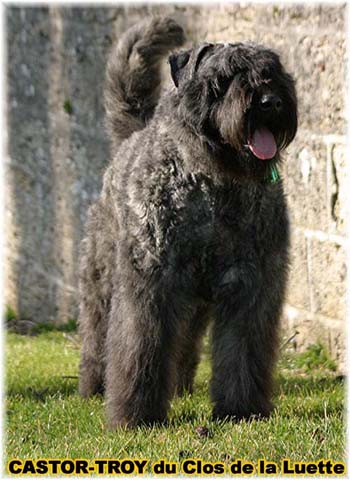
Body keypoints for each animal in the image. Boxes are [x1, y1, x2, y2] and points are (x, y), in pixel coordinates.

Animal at [79, 15, 298, 428]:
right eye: (226, 76)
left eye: (274, 72)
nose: (271, 101)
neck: (215, 182)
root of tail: (129, 138)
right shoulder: (152, 283)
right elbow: (140, 347)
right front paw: (136, 416)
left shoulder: (251, 284)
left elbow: (243, 350)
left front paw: (241, 409)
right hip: (102, 279)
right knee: (97, 334)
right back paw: (94, 386)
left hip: (195, 300)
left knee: (184, 340)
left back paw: (179, 385)